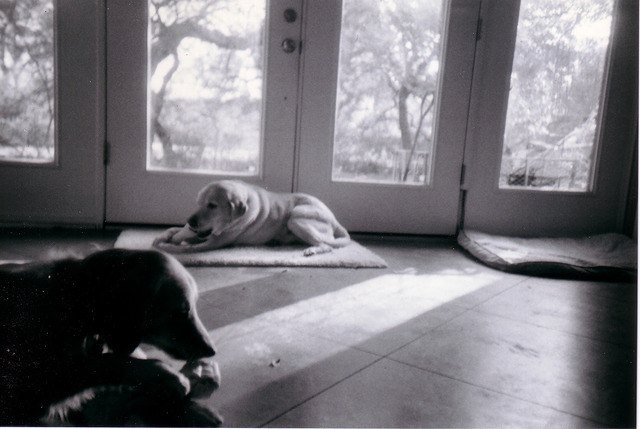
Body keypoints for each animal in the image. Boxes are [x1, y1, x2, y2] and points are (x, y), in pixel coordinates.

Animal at [0, 248, 222, 426]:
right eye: (181, 311)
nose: (211, 351)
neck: (74, 301)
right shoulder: (23, 390)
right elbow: (103, 363)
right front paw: (166, 376)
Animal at [153, 180, 351, 256]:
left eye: (212, 205)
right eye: (198, 203)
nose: (190, 221)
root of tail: (335, 219)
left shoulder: (213, 242)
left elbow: (184, 248)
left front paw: (167, 246)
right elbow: (174, 230)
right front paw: (165, 236)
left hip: (296, 217)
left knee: (326, 245)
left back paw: (312, 250)